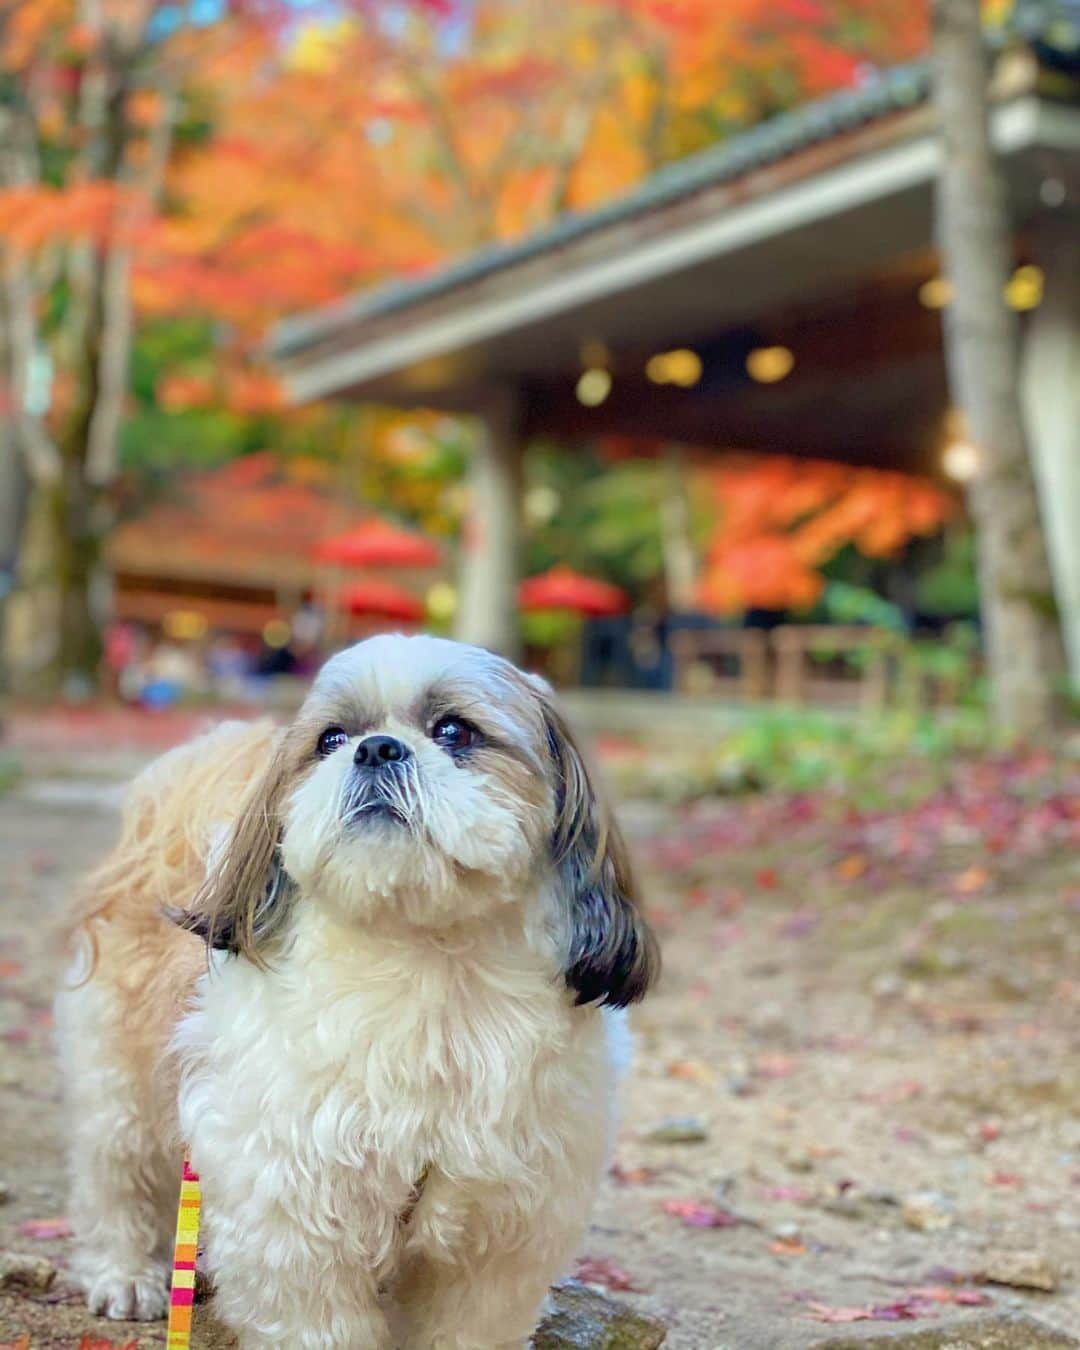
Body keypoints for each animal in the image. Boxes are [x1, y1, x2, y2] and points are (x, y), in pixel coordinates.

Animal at [54, 634, 658, 1350]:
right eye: (332, 739)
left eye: (454, 731)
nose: (376, 748)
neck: (429, 965)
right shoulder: (295, 1219)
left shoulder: (496, 1244)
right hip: (121, 1066)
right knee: (115, 1165)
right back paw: (124, 1272)